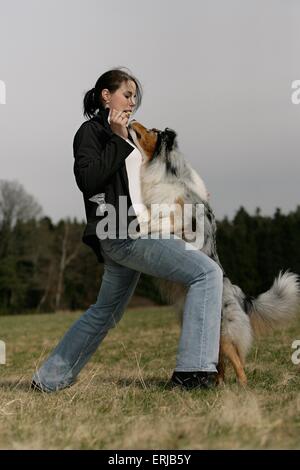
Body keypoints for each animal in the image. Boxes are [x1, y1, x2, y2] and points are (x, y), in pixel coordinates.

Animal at [127, 119, 298, 384]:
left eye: (152, 131)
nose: (133, 120)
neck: (168, 174)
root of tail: (238, 294)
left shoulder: (179, 219)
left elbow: (155, 222)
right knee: (222, 363)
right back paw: (218, 385)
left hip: (224, 332)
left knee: (238, 363)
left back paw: (242, 387)